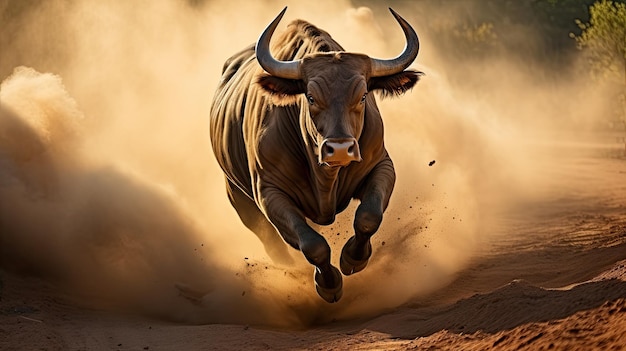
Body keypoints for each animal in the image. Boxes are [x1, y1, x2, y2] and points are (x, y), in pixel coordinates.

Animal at [208, 6, 420, 304]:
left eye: (363, 96)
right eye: (310, 97)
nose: (340, 149)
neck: (325, 177)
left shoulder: (382, 165)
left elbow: (368, 216)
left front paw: (353, 258)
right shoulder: (268, 193)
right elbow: (312, 245)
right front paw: (328, 284)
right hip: (239, 199)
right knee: (274, 246)